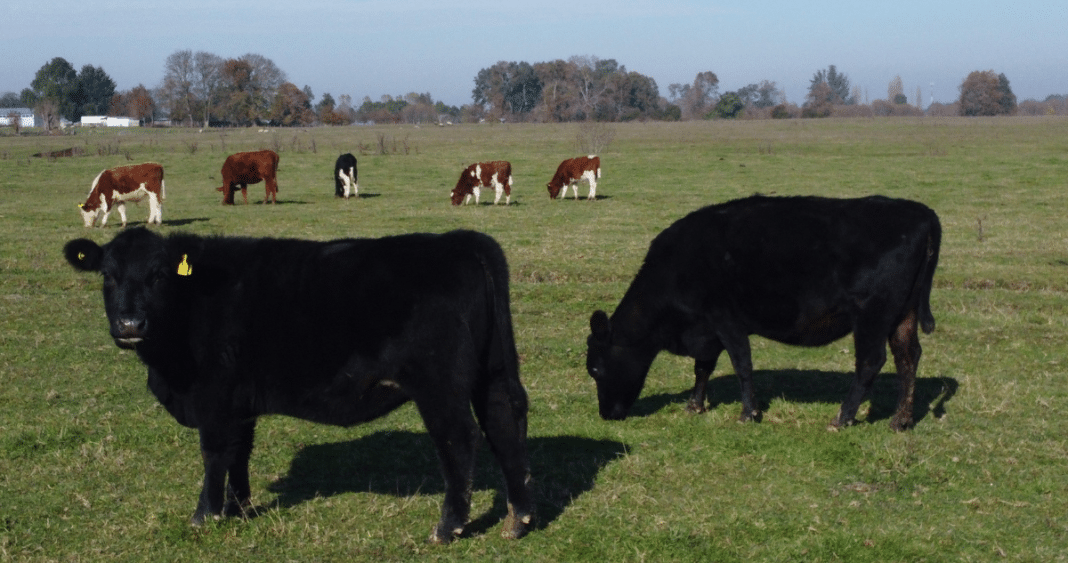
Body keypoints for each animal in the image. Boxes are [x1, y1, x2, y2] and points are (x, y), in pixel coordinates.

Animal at [64, 226, 531, 544]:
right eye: (107, 275)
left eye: (159, 275)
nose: (130, 325)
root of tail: (461, 240)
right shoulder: (239, 403)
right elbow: (239, 453)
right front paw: (239, 507)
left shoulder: (213, 398)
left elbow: (214, 454)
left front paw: (205, 515)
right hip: (492, 373)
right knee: (504, 425)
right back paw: (518, 519)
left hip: (439, 385)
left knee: (460, 440)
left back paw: (448, 527)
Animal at [585, 194, 944, 431]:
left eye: (595, 369)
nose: (606, 414)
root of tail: (920, 211)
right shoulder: (707, 329)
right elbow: (702, 368)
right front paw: (695, 405)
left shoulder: (725, 319)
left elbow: (742, 364)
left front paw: (749, 413)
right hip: (903, 315)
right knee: (907, 357)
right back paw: (900, 420)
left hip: (872, 316)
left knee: (871, 361)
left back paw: (842, 418)